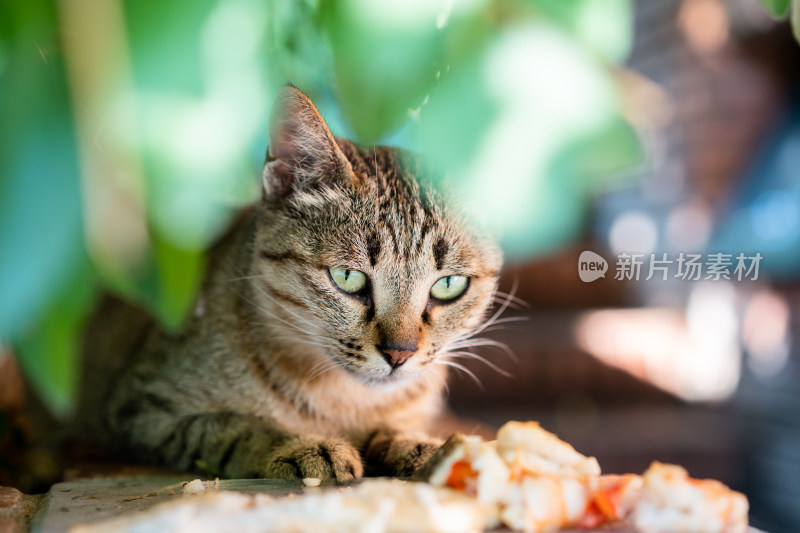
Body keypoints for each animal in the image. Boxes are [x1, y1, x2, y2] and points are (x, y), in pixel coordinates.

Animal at [75, 86, 504, 478]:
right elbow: (235, 428)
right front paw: (302, 445)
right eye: (348, 278)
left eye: (448, 285)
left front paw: (417, 444)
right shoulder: (143, 408)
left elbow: (396, 426)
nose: (399, 354)